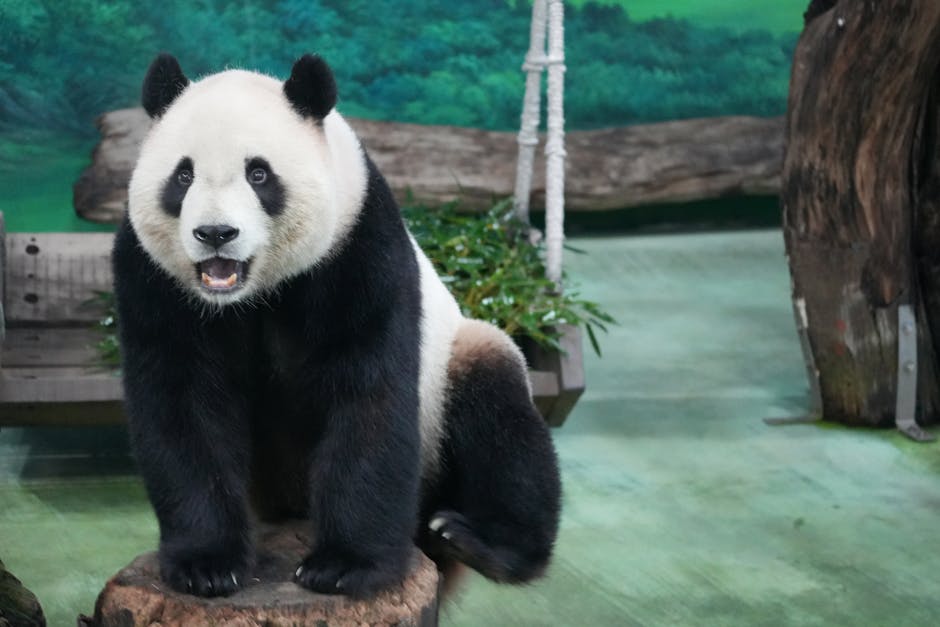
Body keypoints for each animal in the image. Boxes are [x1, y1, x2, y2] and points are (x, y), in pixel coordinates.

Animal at [113, 53, 561, 599]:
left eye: (259, 174)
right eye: (183, 176)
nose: (215, 233)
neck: (251, 295)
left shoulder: (358, 250)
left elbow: (367, 396)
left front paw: (345, 566)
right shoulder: (153, 280)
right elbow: (183, 405)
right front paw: (207, 565)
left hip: (454, 375)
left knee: (503, 421)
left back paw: (480, 542)